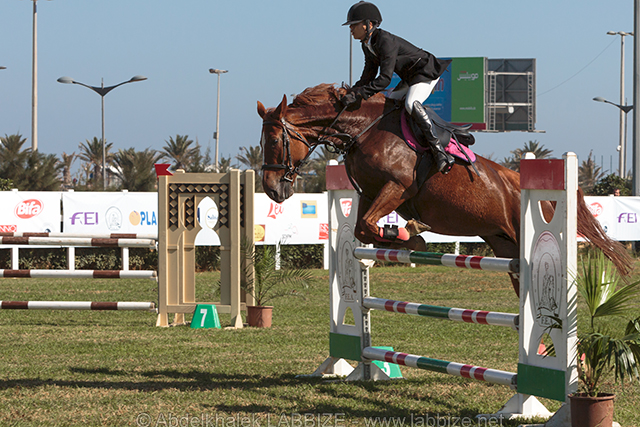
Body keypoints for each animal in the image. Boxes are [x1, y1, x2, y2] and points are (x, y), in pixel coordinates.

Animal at [257, 83, 633, 295]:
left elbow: (369, 225)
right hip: (505, 245)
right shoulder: (369, 194)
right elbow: (364, 230)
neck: (364, 128)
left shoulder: (397, 187)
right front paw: (409, 236)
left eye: (274, 141)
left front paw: (412, 234)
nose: (273, 190)